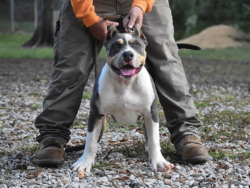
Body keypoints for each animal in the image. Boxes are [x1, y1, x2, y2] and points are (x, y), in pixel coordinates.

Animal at [72, 25, 174, 173]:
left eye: (136, 45)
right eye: (116, 45)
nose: (127, 54)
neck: (125, 84)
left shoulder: (151, 113)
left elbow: (154, 139)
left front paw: (159, 161)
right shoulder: (96, 114)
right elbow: (90, 141)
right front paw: (85, 163)